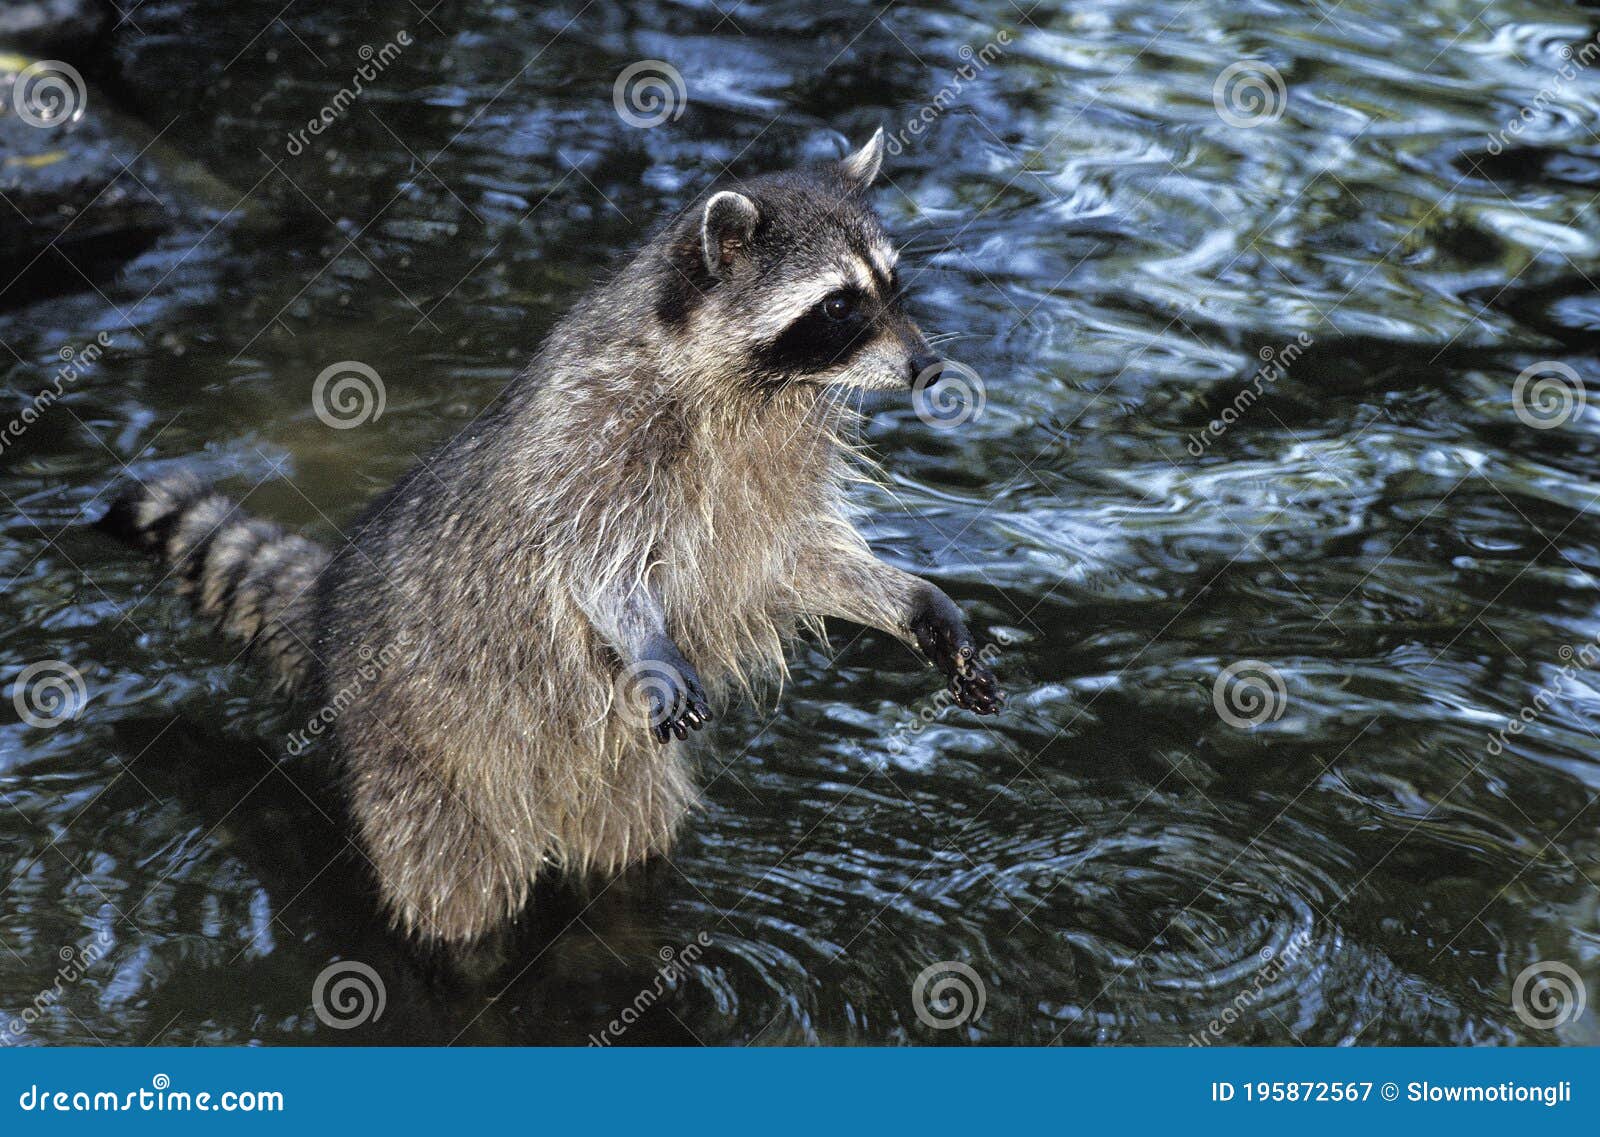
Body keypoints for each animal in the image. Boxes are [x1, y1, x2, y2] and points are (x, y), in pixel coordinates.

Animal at [101, 129, 1003, 951]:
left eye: (893, 283)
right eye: (840, 305)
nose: (926, 368)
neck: (762, 387)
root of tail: (332, 604)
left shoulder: (773, 479)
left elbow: (796, 562)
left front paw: (909, 599)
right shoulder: (600, 434)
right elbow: (589, 555)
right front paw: (639, 627)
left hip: (618, 781)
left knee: (627, 856)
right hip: (416, 765)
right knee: (458, 898)